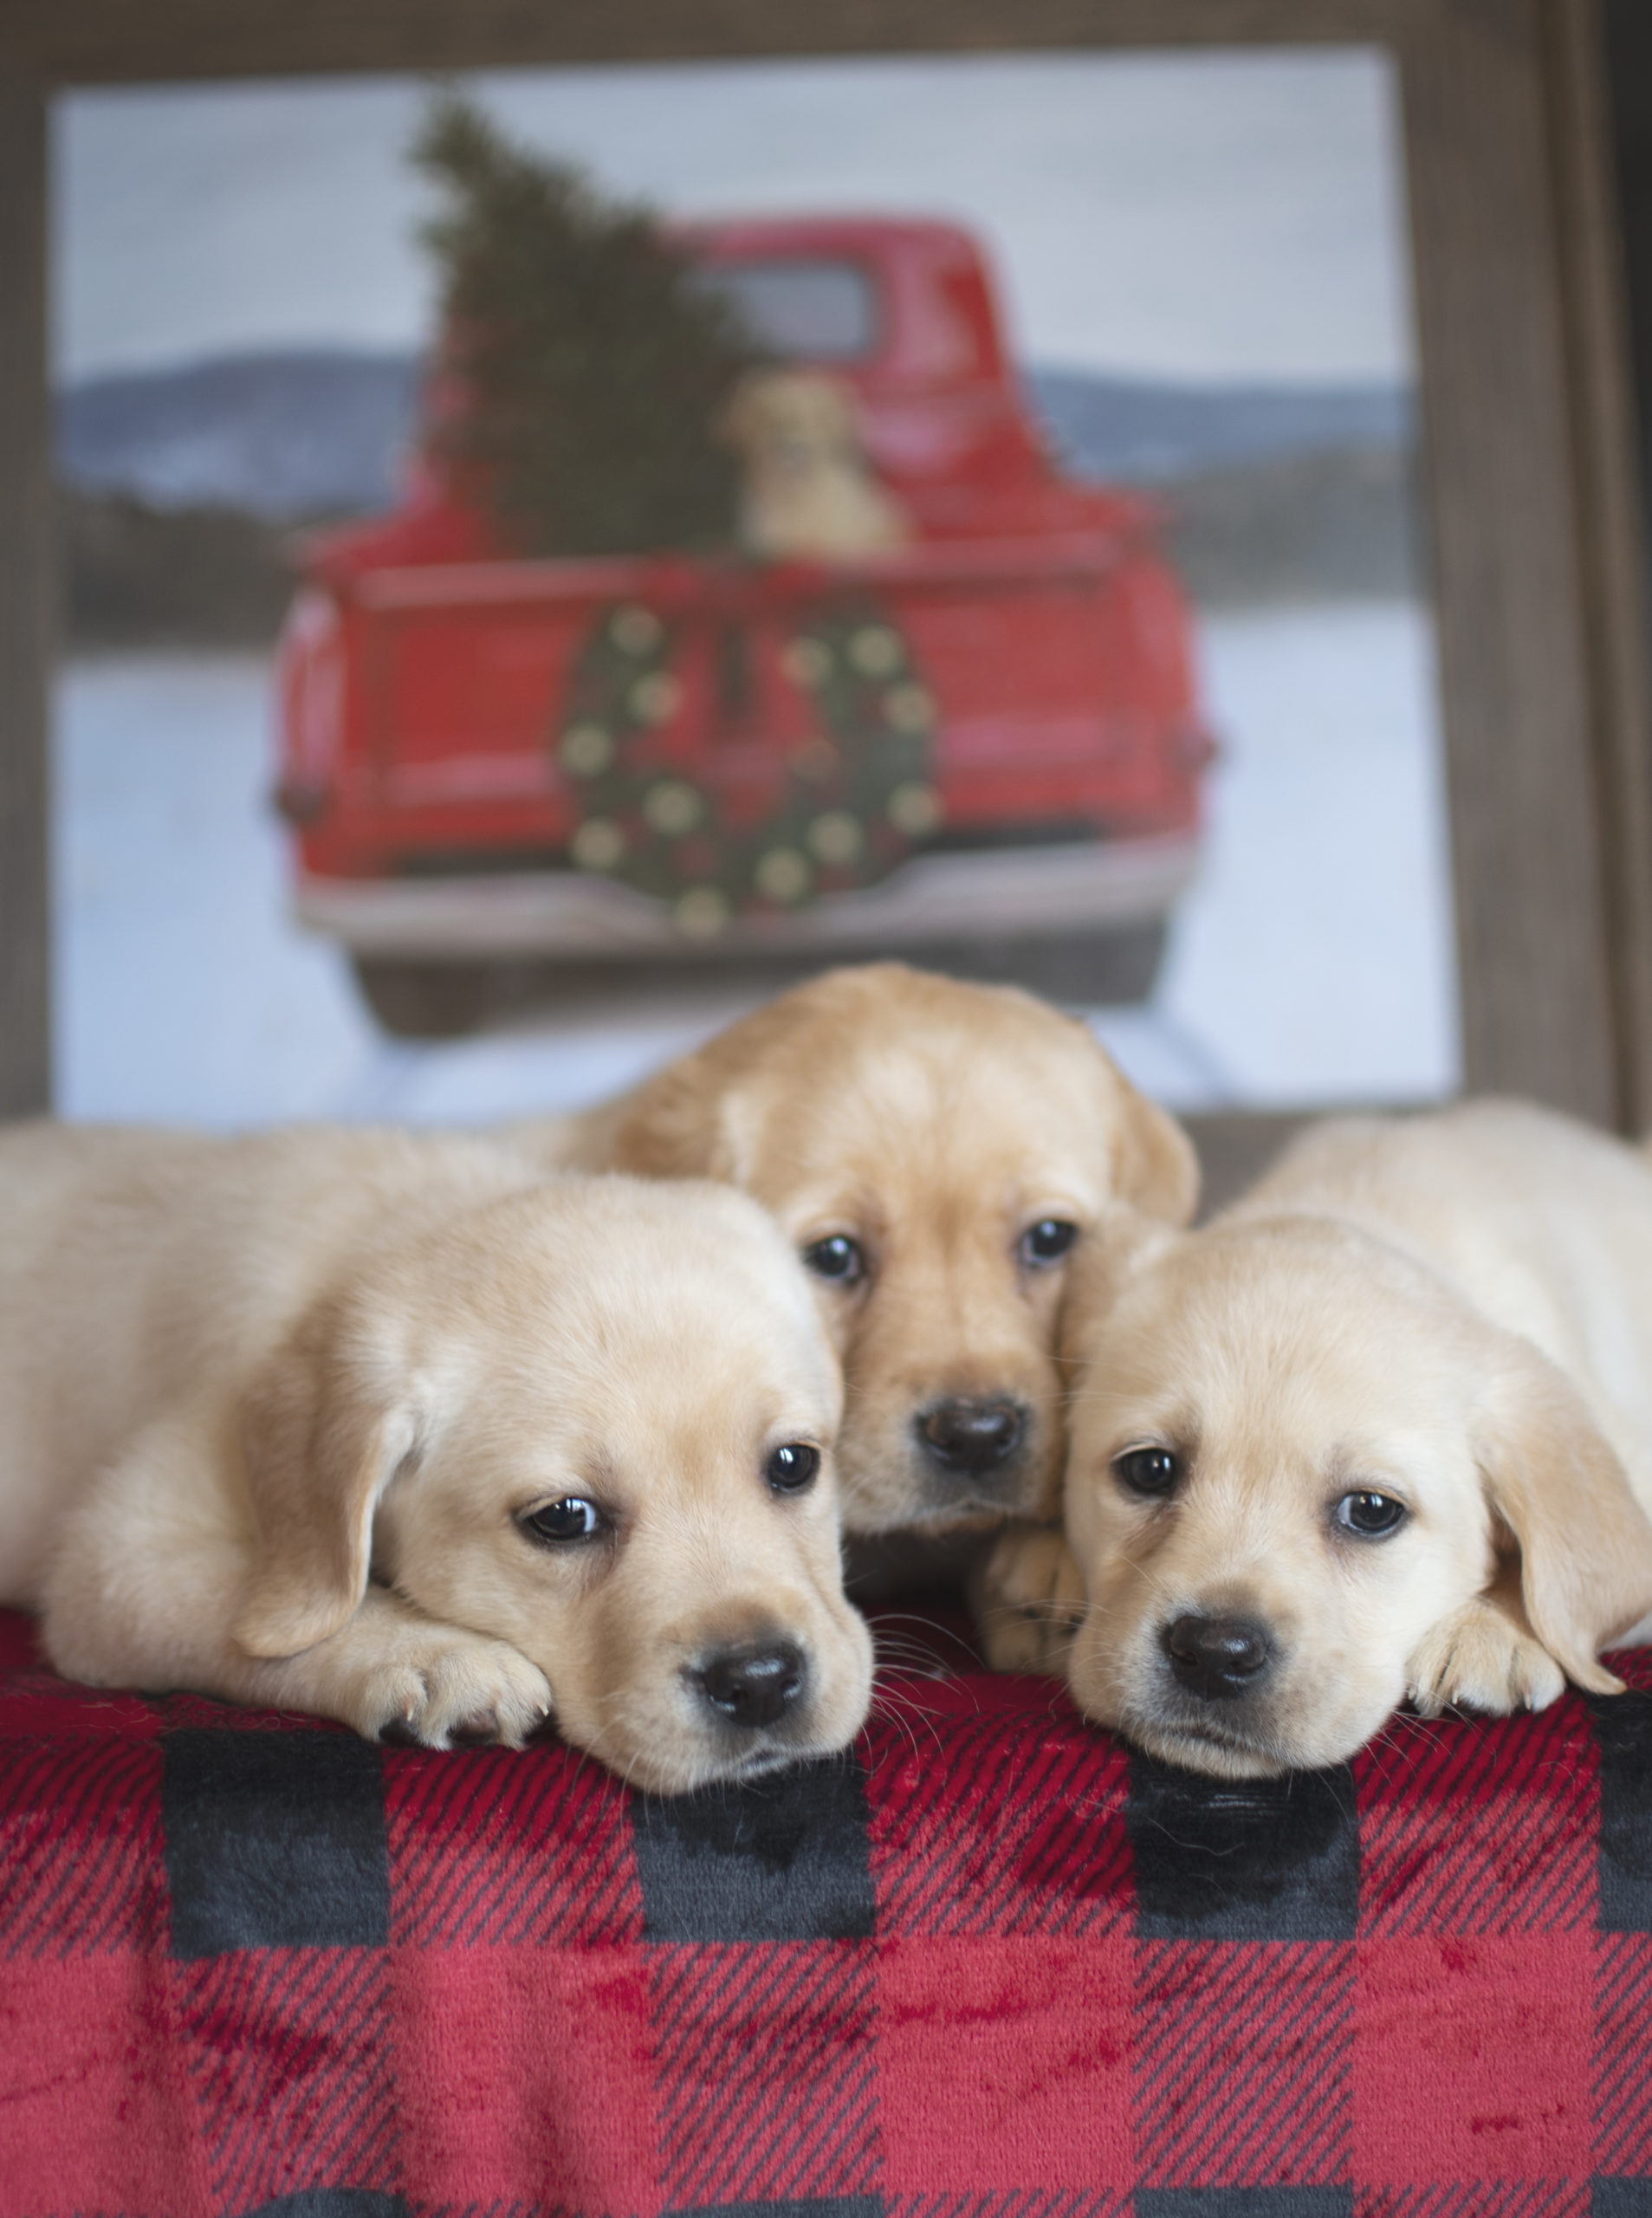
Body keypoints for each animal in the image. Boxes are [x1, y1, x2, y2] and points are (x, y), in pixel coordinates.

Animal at [0, 1118, 869, 1792]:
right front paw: (436, 1656)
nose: (758, 1682)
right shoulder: (115, 1557)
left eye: (794, 1464)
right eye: (564, 1518)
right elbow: (262, 1612)